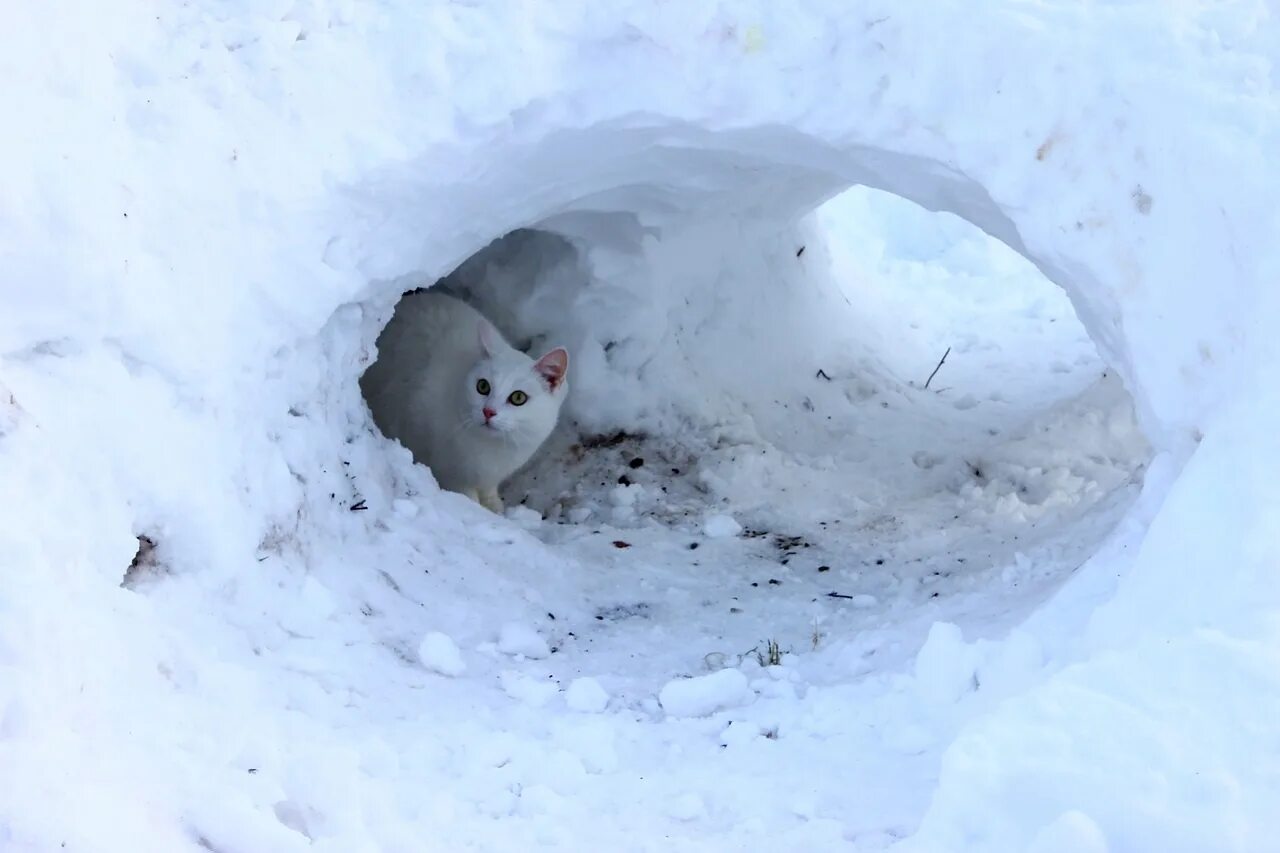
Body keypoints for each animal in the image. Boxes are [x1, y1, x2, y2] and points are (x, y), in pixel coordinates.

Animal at [355, 289, 565, 507]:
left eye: (518, 397)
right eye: (483, 386)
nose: (488, 411)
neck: (491, 449)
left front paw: (493, 506)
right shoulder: (452, 475)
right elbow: (466, 495)